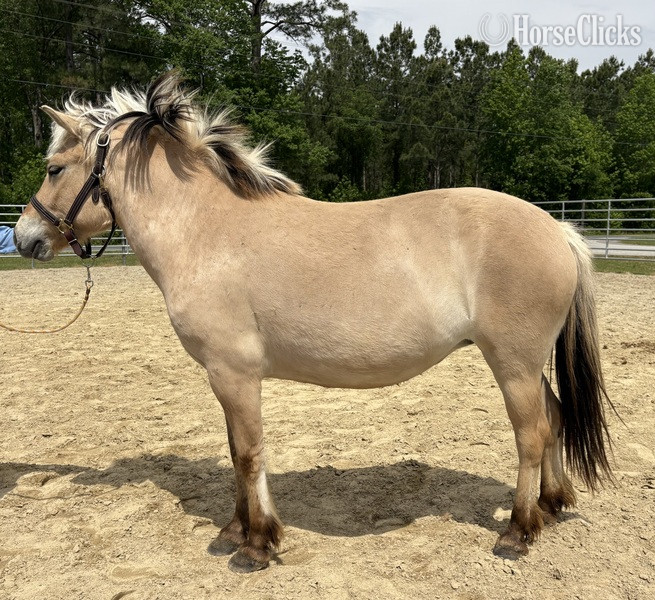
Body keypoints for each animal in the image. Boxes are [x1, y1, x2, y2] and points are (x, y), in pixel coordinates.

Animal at [13, 72, 613, 573]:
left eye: (53, 168)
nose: (23, 238)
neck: (205, 231)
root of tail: (557, 228)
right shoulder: (224, 378)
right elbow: (236, 451)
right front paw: (234, 531)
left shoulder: (234, 374)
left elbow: (249, 453)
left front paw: (257, 544)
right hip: (526, 365)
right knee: (554, 417)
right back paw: (551, 506)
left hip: (512, 363)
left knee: (531, 434)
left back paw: (518, 531)